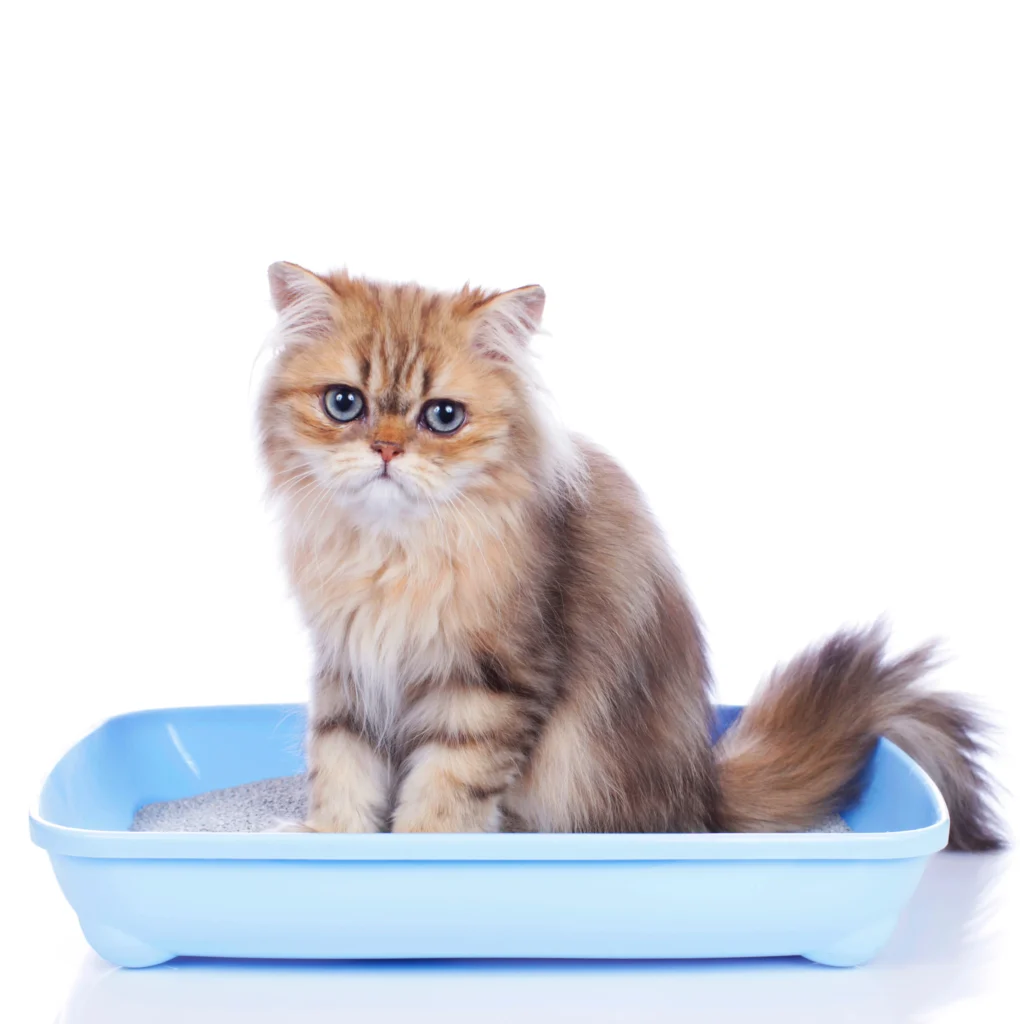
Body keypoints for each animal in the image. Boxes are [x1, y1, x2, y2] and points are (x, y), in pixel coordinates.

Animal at [256, 264, 999, 847]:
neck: (393, 554)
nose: (385, 449)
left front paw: (419, 846)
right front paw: (329, 838)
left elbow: (445, 787)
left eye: (442, 416)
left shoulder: (490, 681)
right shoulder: (347, 666)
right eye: (344, 403)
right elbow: (340, 763)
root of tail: (700, 793)